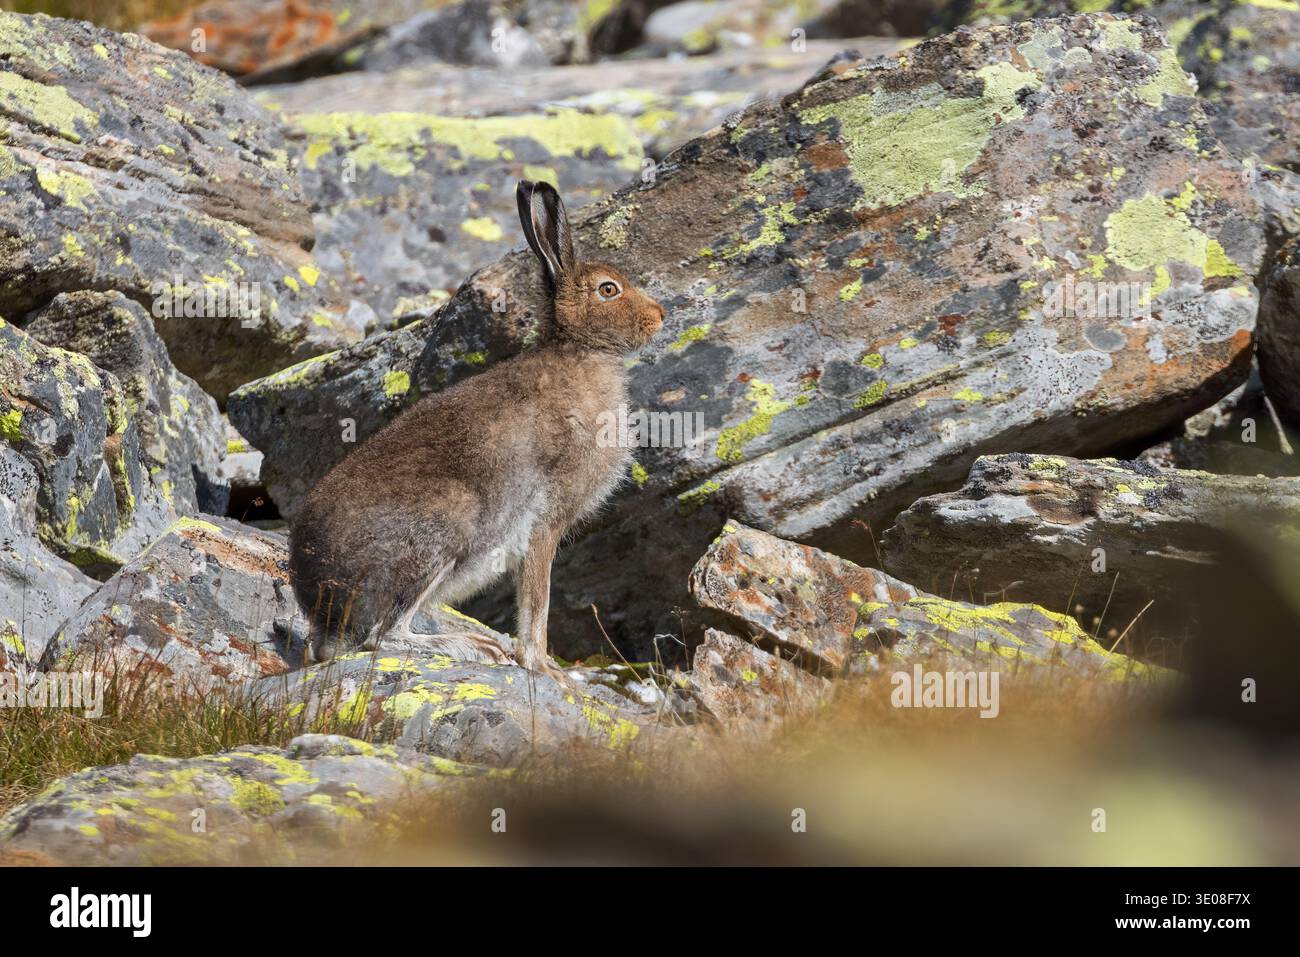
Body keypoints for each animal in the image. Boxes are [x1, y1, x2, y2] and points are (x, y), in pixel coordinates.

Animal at [288, 180, 666, 680]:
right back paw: (474, 647)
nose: (661, 315)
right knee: (383, 636)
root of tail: (320, 604)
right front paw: (547, 669)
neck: (580, 350)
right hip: (440, 533)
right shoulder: (545, 522)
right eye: (609, 289)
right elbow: (537, 602)